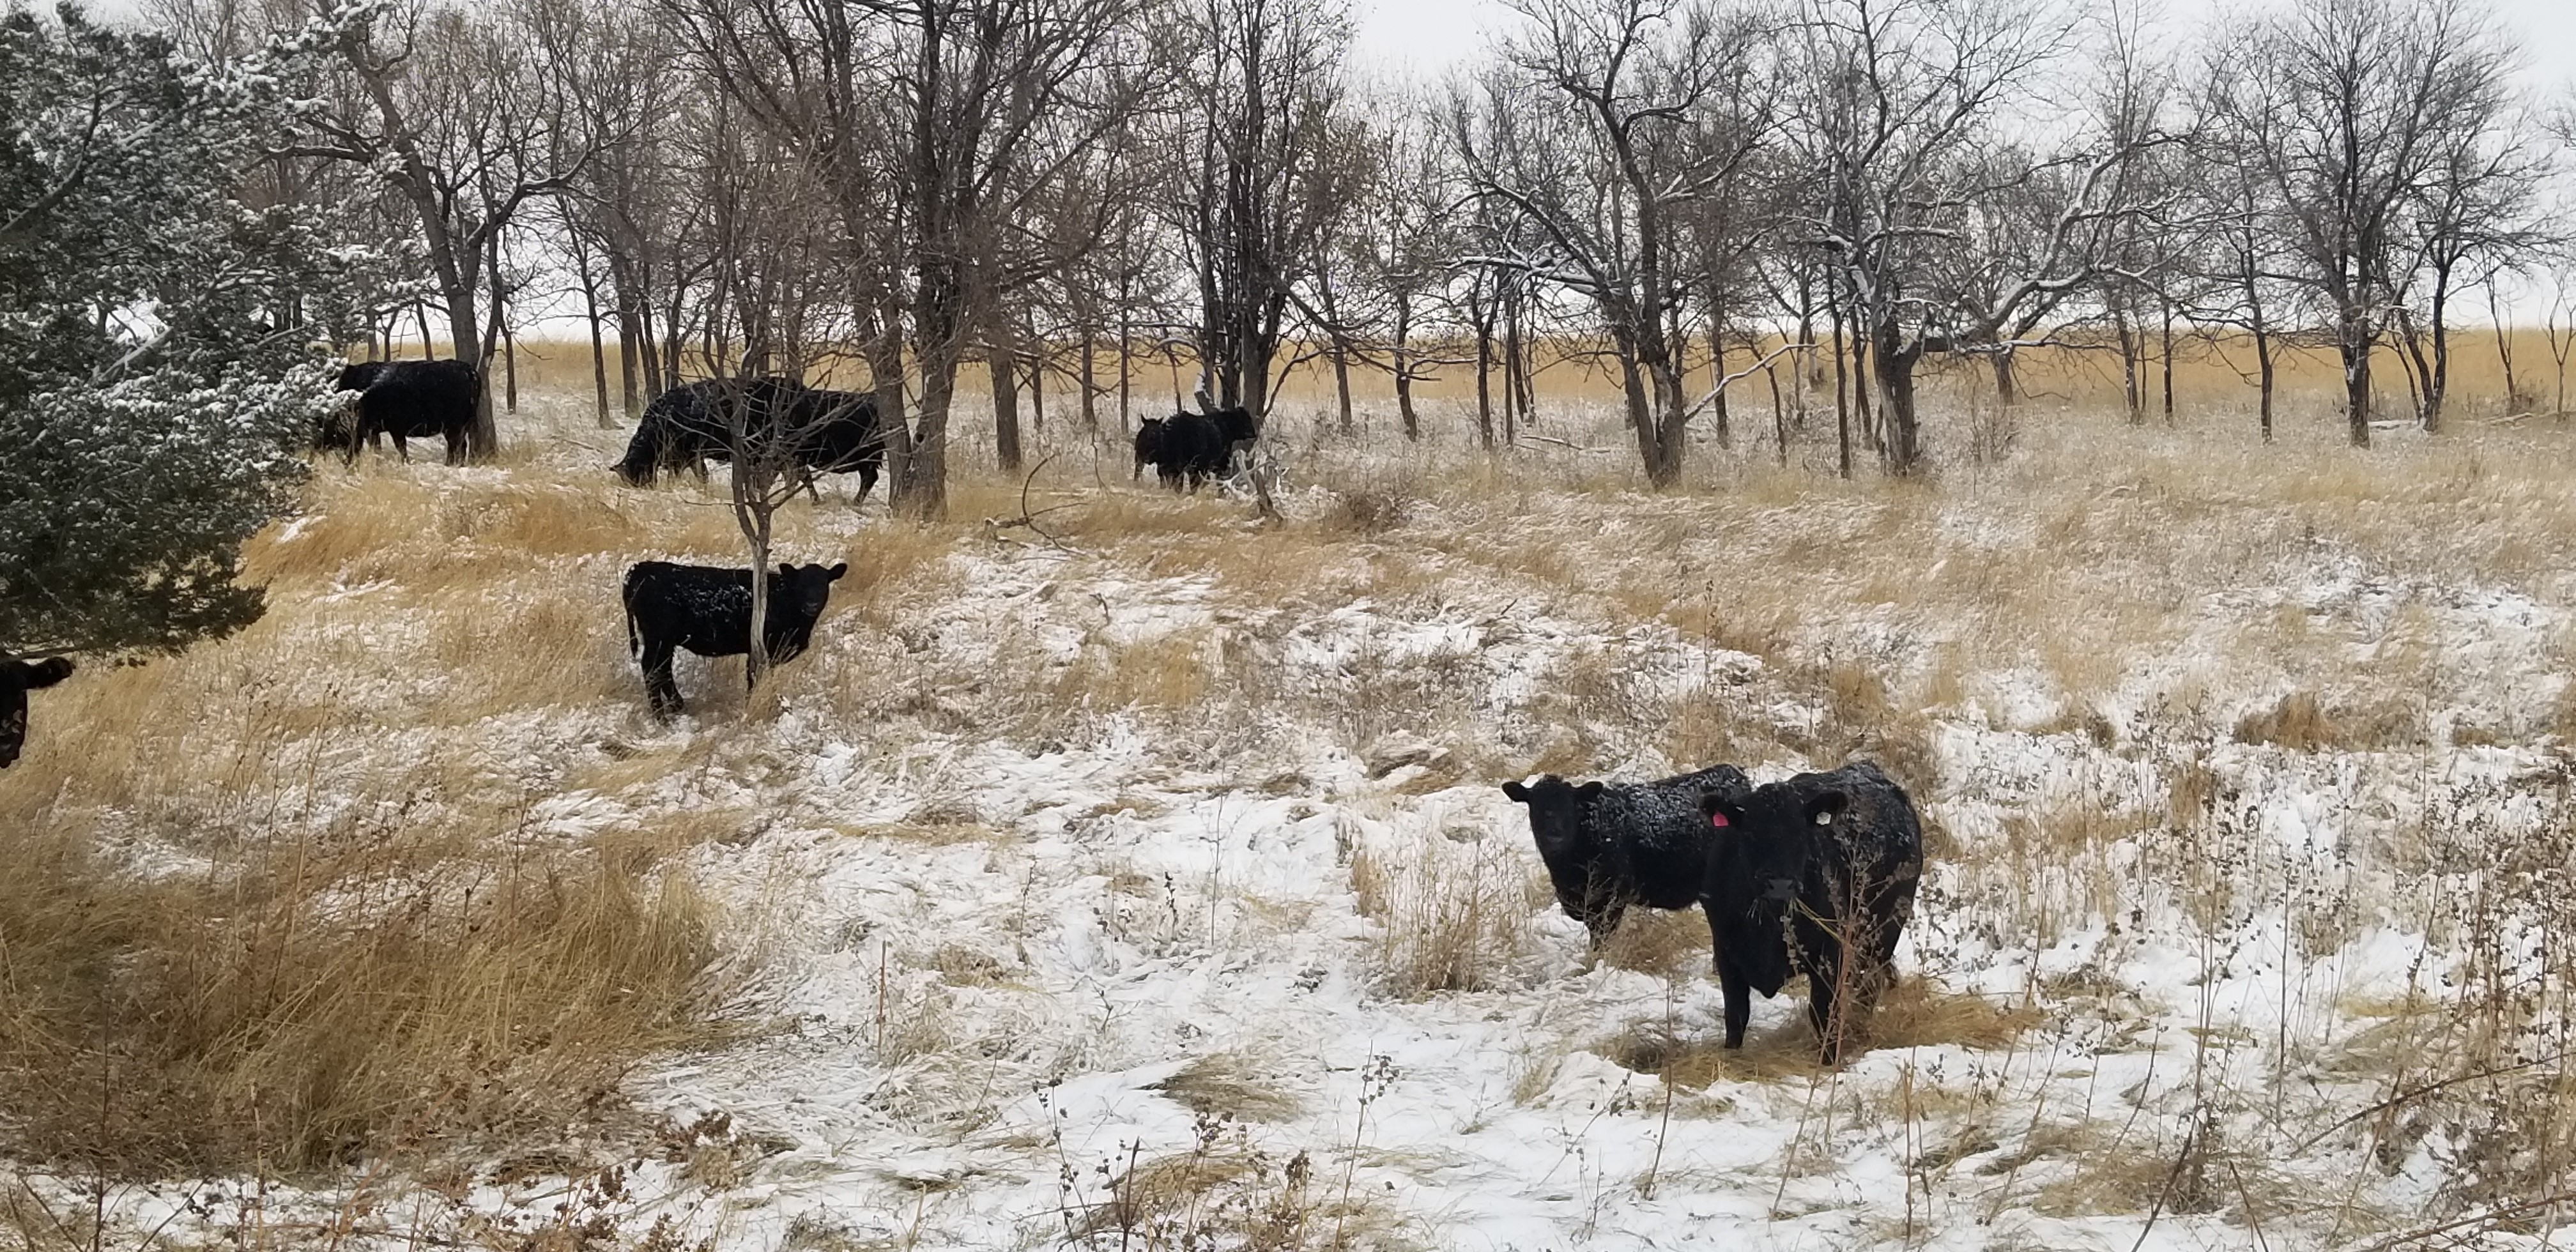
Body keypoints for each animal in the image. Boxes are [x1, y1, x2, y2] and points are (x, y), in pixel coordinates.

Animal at [618, 561, 850, 721]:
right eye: (801, 585)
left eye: (824, 584)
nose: (812, 604)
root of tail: (640, 568)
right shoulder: (764, 649)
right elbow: (755, 679)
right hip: (658, 637)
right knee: (652, 669)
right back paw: (662, 717)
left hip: (665, 640)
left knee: (663, 670)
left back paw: (678, 707)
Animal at [1504, 762, 1761, 948]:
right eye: (1536, 806)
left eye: (1569, 806)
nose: (1554, 837)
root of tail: (1732, 772)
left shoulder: (1613, 899)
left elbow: (1600, 942)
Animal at [1700, 757, 1926, 1061]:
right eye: (1750, 834)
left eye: (1801, 834)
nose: (1780, 885)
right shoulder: (1726, 952)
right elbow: (1736, 1017)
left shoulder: (1830, 954)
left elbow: (1822, 1013)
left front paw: (1827, 1061)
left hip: (1884, 932)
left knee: (1868, 988)